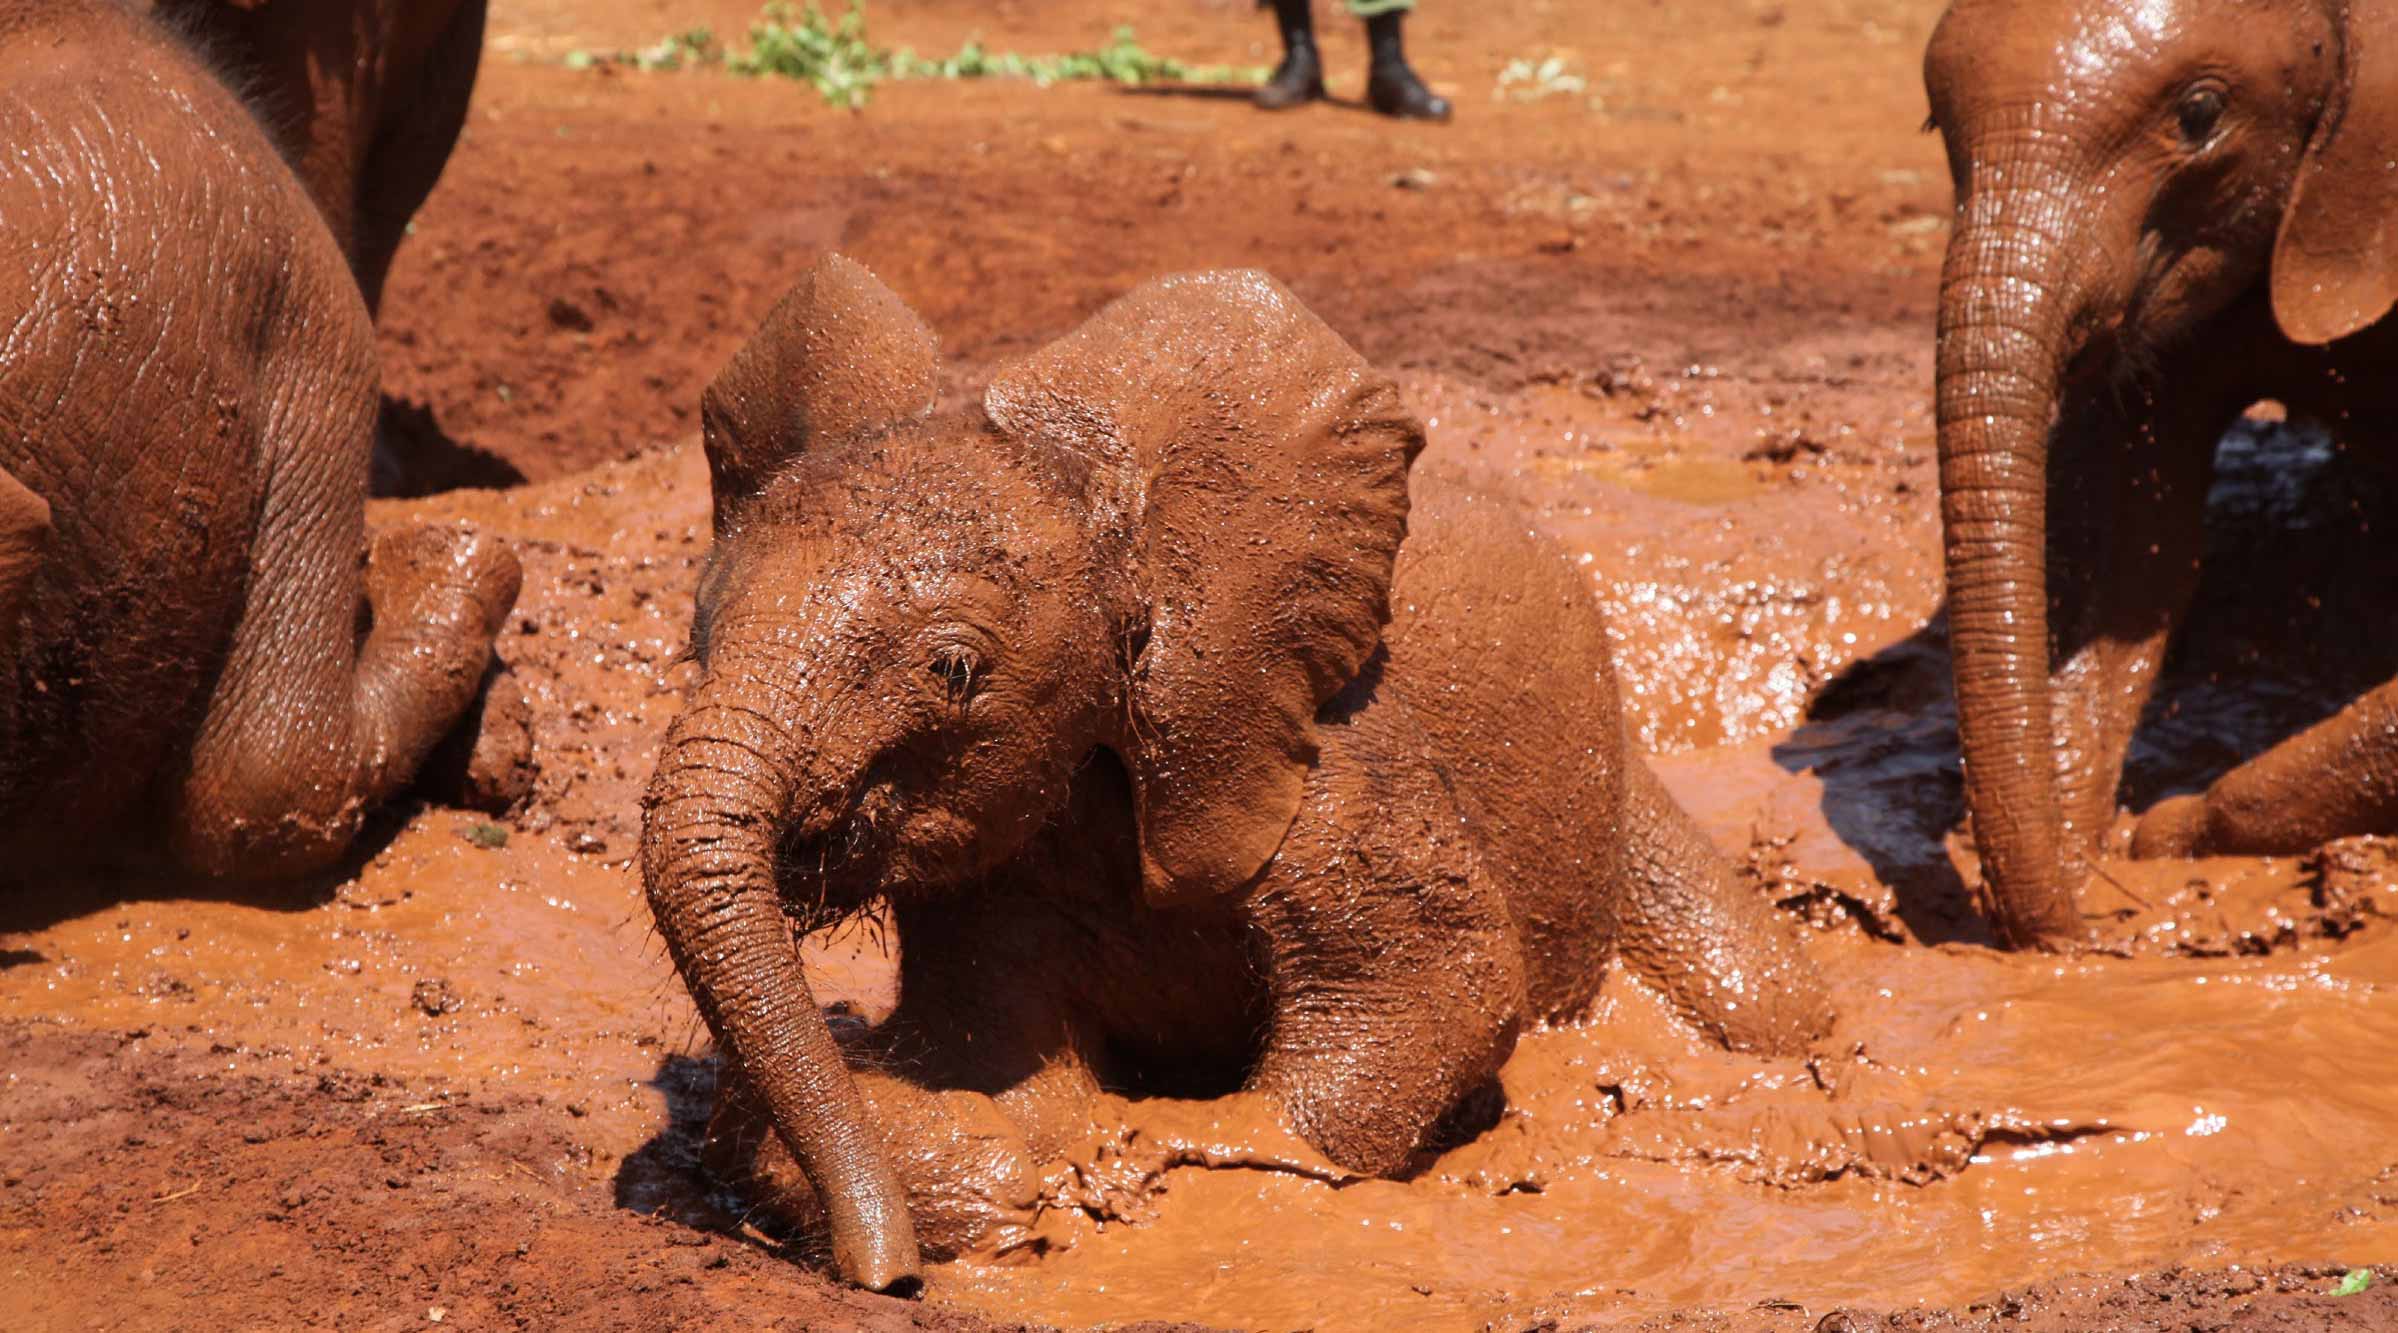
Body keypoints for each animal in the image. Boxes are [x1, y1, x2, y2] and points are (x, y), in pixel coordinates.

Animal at [637, 252, 1832, 1294]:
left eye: (955, 669)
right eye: (696, 632)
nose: (886, 1278)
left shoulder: (1333, 750)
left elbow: (1443, 985)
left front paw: (1166, 1151)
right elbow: (996, 1063)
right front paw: (1004, 1173)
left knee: (1762, 998)